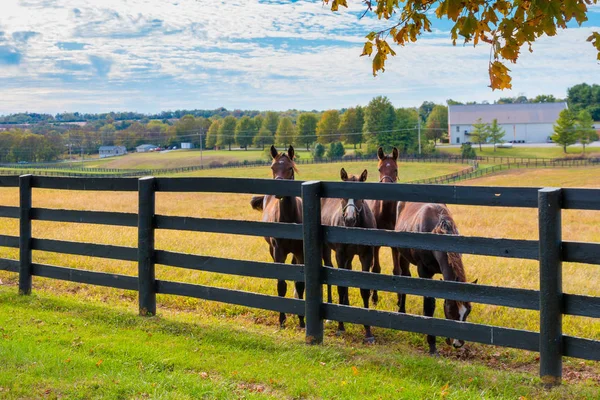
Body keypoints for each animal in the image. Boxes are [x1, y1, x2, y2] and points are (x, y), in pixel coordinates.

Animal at [250, 145, 304, 326]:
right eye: (273, 167)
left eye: (290, 168)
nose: (278, 191)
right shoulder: (278, 251)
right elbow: (281, 284)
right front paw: (282, 319)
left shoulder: (301, 252)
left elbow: (300, 283)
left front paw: (302, 320)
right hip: (272, 250)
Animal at [324, 167, 376, 342]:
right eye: (343, 195)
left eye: (360, 195)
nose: (349, 219)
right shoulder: (340, 254)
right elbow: (340, 286)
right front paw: (340, 327)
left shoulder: (366, 256)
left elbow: (364, 290)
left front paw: (368, 332)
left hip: (350, 256)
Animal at [396, 202, 476, 354]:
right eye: (450, 310)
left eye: (468, 310)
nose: (458, 343)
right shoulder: (424, 271)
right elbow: (429, 304)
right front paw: (432, 345)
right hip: (401, 256)